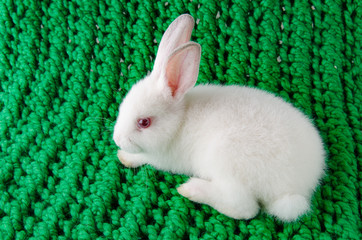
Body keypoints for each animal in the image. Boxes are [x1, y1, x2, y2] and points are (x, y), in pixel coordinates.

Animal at [113, 14, 326, 221]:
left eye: (144, 122)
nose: (117, 139)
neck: (179, 121)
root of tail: (301, 185)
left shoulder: (161, 158)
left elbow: (143, 157)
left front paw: (124, 156)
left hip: (227, 162)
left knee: (245, 207)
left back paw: (191, 189)